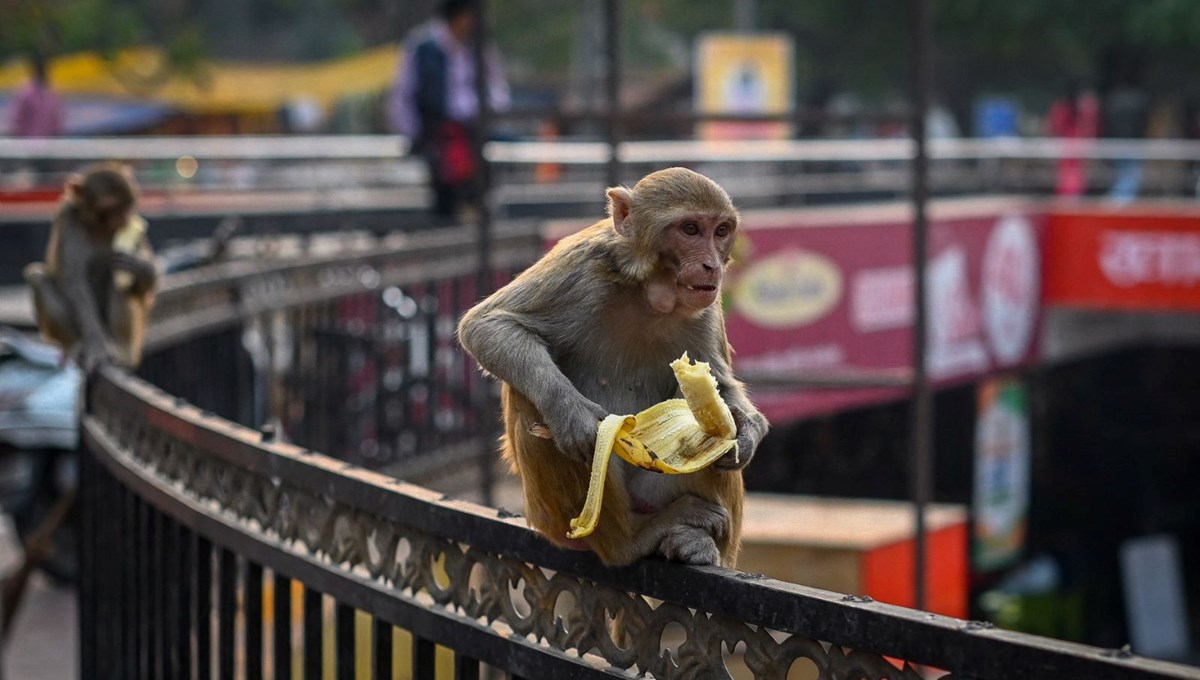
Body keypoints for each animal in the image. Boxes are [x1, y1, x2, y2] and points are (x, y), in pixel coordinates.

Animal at [21, 161, 157, 369]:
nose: (124, 219)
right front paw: (96, 346)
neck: (98, 226)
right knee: (38, 278)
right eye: (111, 208)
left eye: (128, 204)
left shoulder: (135, 226)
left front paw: (142, 268)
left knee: (117, 277)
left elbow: (145, 286)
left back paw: (122, 349)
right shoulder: (68, 219)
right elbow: (75, 283)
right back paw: (74, 345)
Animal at [453, 166, 772, 568]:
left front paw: (747, 430)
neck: (651, 293)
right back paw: (631, 541)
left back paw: (699, 543)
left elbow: (722, 387)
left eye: (721, 231)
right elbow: (487, 324)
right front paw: (571, 414)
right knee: (529, 397)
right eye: (690, 229)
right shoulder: (580, 269)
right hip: (553, 521)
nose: (711, 265)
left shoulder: (706, 307)